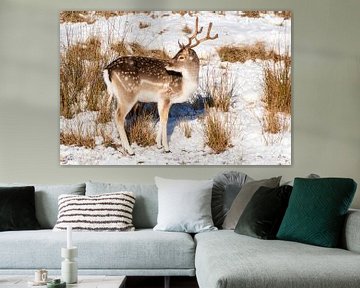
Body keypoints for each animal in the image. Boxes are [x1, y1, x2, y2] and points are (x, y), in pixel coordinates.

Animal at [102, 16, 218, 155]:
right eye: (178, 54)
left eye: (181, 56)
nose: (168, 64)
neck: (184, 86)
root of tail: (108, 69)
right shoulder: (167, 96)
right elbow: (165, 119)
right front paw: (166, 148)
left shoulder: (160, 99)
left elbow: (161, 119)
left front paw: (158, 144)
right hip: (128, 94)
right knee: (119, 117)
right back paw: (130, 150)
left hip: (116, 95)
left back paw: (125, 147)